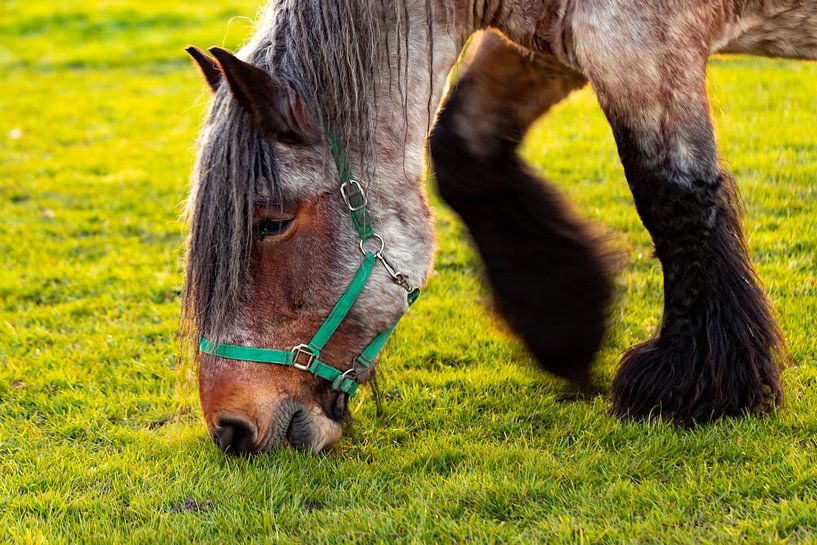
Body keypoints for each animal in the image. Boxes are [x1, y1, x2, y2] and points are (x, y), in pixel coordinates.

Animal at [182, 0, 812, 452]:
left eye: (272, 223)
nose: (231, 429)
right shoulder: (553, 41)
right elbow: (463, 150)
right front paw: (568, 327)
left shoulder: (636, 41)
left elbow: (674, 199)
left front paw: (697, 388)